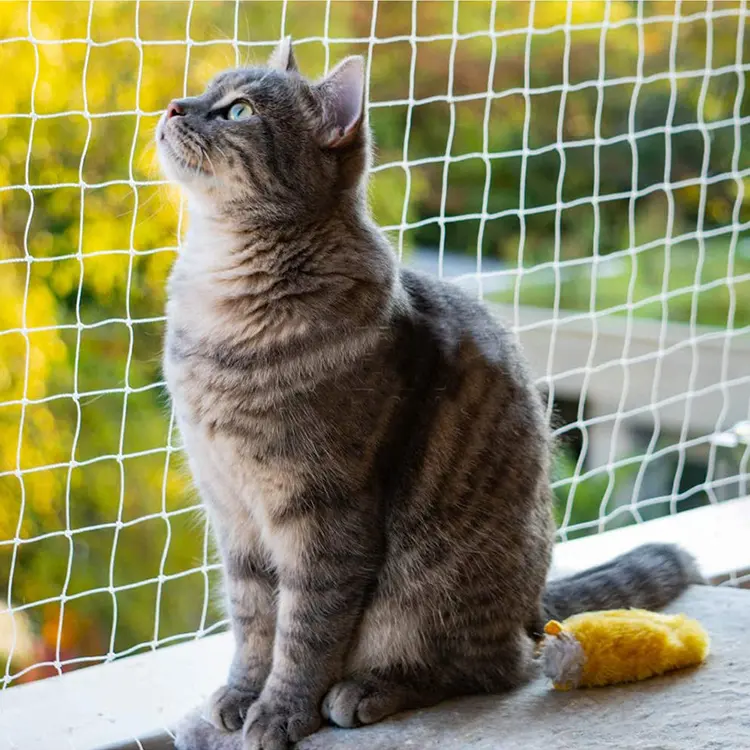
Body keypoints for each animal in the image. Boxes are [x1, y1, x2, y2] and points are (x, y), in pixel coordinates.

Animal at [159, 41, 704, 750]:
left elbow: (303, 633)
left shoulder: (323, 516)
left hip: (425, 588)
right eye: (207, 90)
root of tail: (533, 603)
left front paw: (278, 712)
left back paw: (368, 689)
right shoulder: (234, 517)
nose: (175, 105)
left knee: (493, 667)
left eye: (240, 111)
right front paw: (239, 694)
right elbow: (254, 623)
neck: (221, 307)